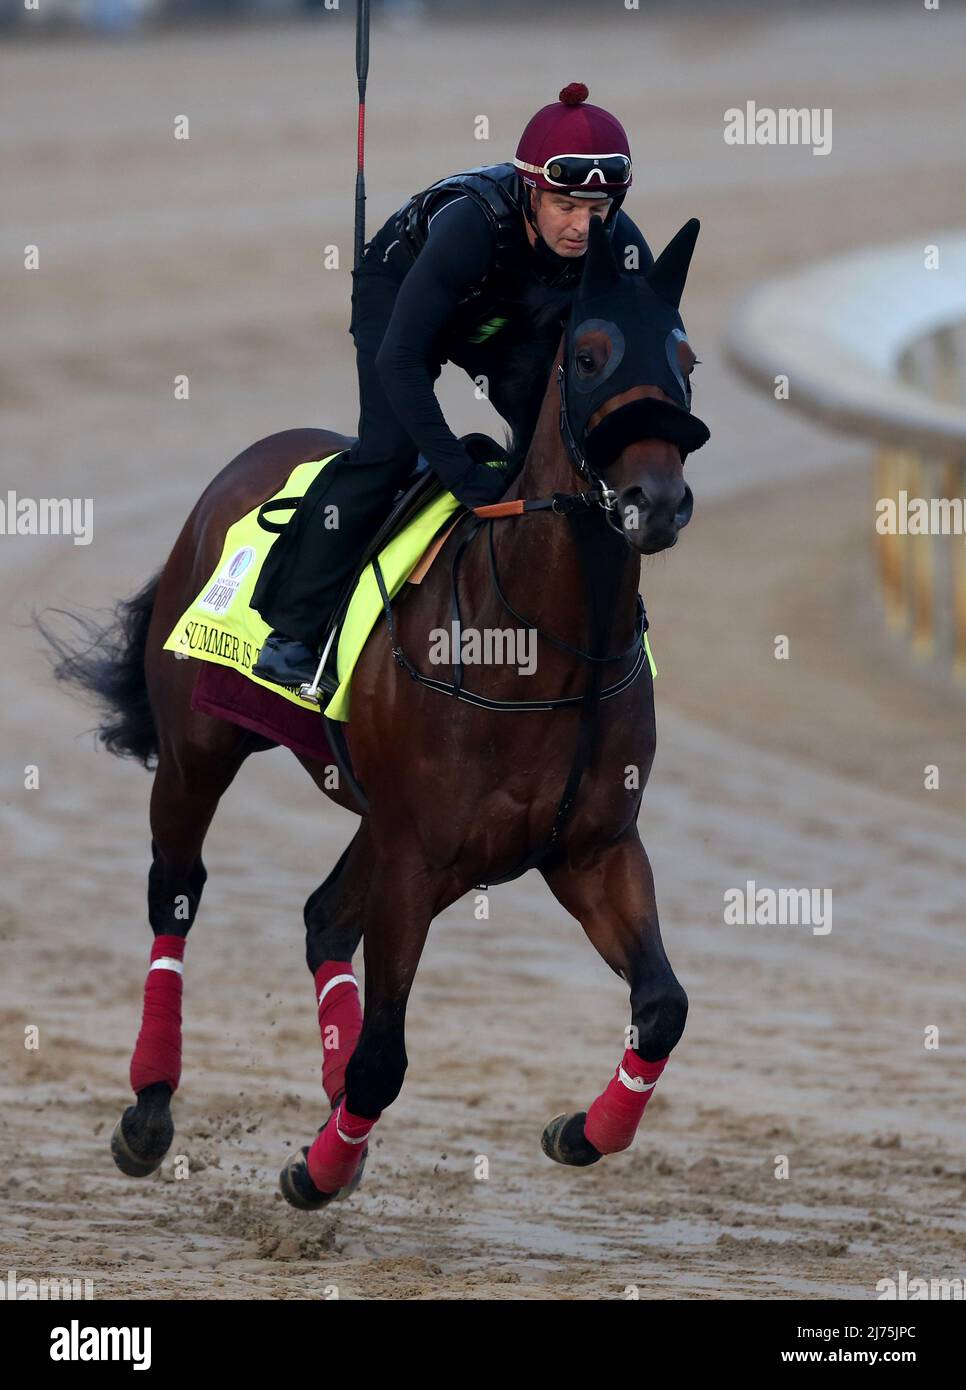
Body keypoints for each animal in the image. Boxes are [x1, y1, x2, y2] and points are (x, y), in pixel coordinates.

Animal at [43, 214, 711, 1206]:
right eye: (589, 355)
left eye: (687, 360)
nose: (656, 502)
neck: (544, 643)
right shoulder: (419, 856)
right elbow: (386, 1060)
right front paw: (316, 1171)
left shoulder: (590, 849)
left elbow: (662, 1006)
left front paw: (580, 1131)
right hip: (200, 749)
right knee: (177, 892)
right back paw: (150, 1108)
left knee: (324, 914)